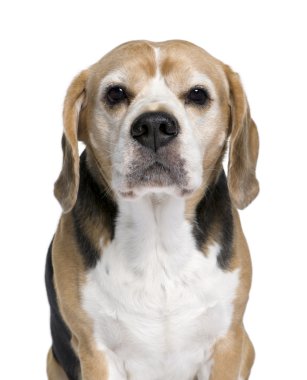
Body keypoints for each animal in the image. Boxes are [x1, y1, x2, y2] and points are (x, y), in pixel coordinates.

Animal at [45, 40, 260, 378]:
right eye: (115, 93)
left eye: (198, 94)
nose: (154, 125)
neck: (158, 236)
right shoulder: (95, 350)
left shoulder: (226, 342)